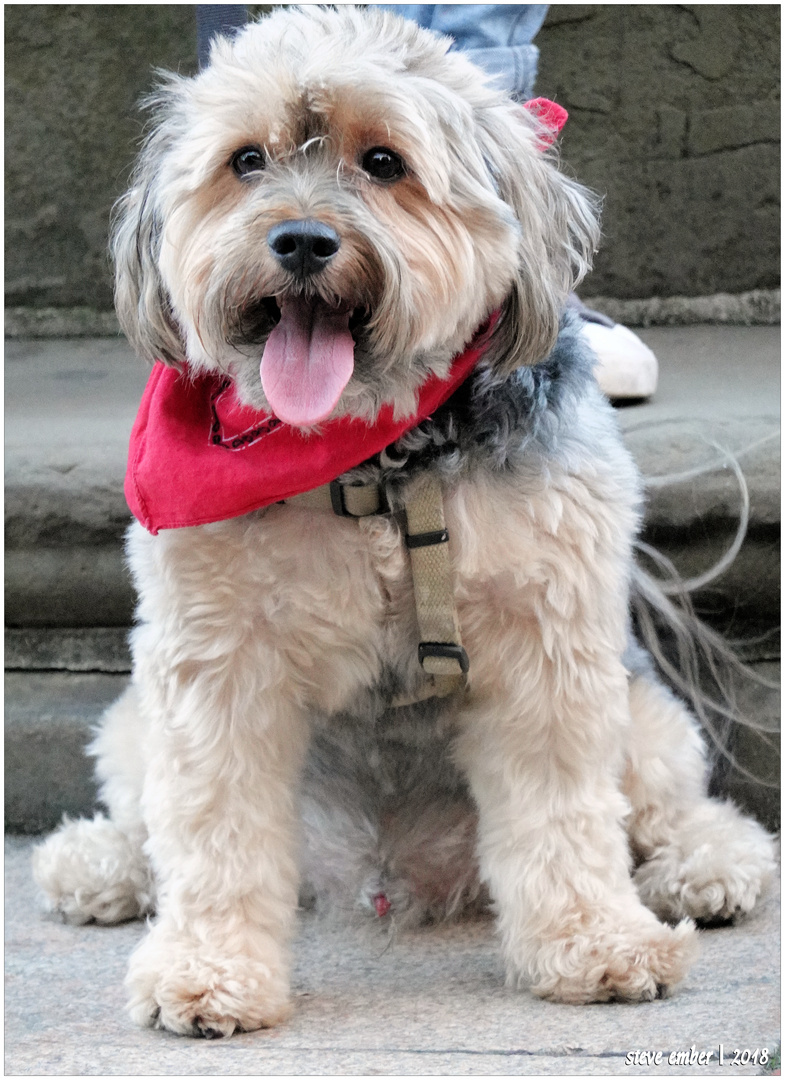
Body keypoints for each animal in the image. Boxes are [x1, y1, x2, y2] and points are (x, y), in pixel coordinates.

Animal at [33, 6, 777, 1036]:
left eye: (383, 161)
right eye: (246, 160)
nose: (301, 241)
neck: (374, 460)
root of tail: (397, 878)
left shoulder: (548, 641)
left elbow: (563, 810)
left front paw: (595, 941)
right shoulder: (216, 664)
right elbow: (214, 827)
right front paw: (207, 970)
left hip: (643, 710)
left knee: (664, 804)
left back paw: (704, 865)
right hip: (135, 720)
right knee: (147, 818)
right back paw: (100, 864)